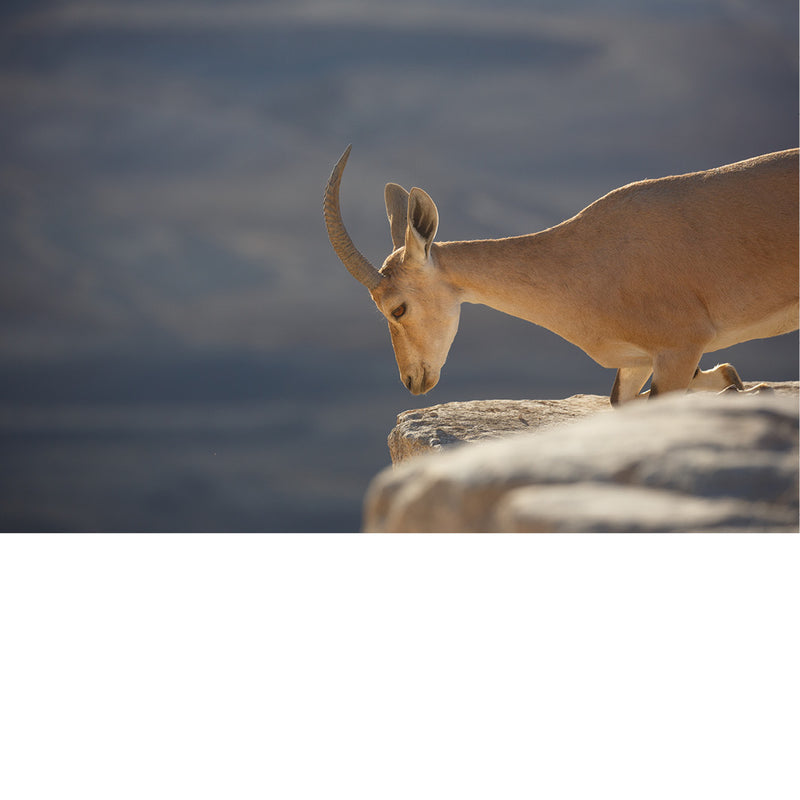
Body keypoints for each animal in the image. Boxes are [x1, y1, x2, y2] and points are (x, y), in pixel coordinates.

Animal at [324, 146, 798, 403]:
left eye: (397, 308)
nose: (413, 382)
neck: (586, 264)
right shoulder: (638, 362)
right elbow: (622, 403)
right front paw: (733, 381)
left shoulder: (680, 346)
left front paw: (744, 387)